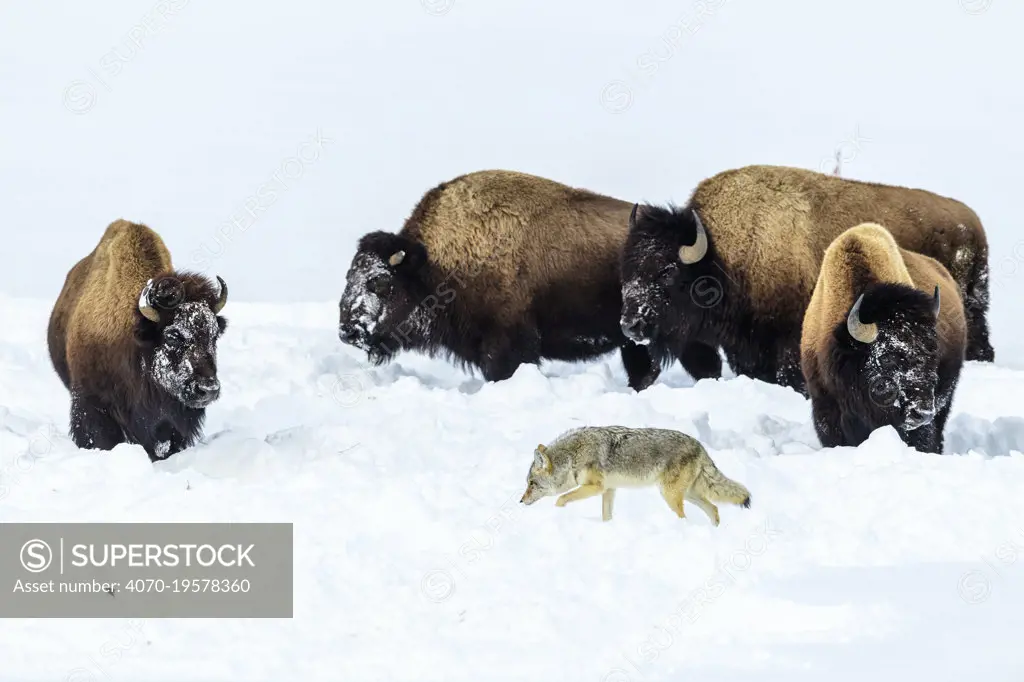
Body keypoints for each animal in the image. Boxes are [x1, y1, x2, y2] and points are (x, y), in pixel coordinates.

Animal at [614, 163, 991, 393]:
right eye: (628, 267)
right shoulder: (745, 346)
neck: (723, 253)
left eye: (667, 270)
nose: (630, 325)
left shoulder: (788, 341)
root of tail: (971, 221)